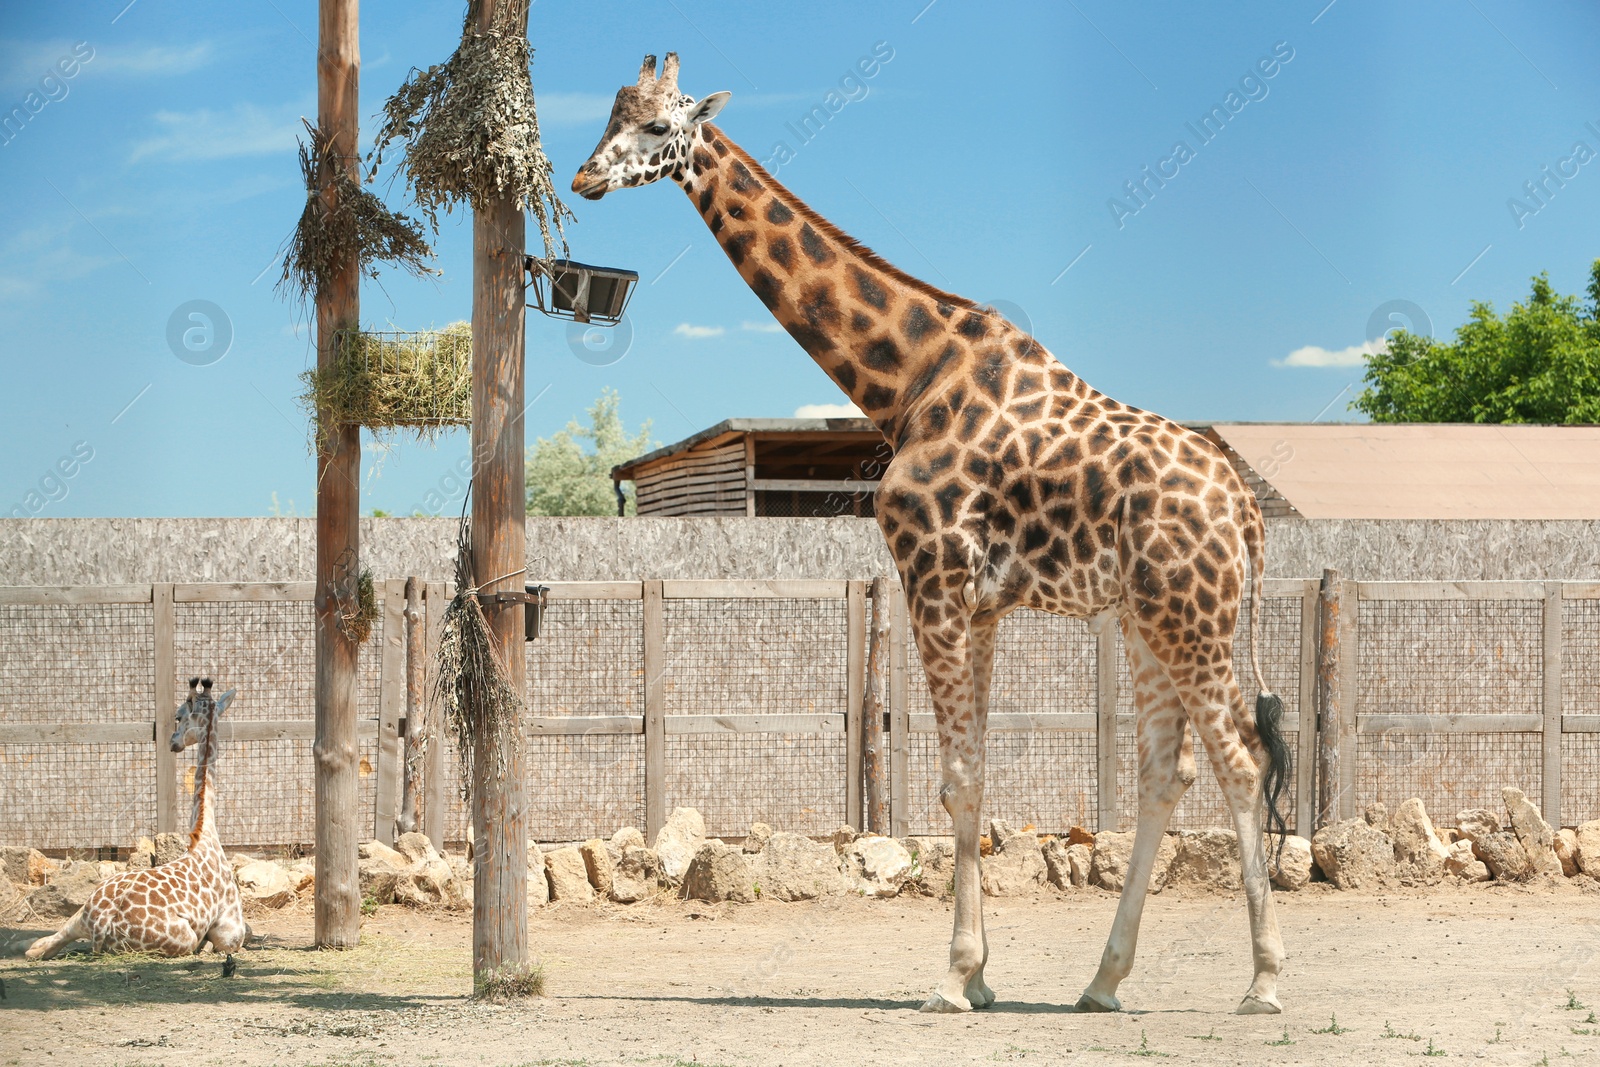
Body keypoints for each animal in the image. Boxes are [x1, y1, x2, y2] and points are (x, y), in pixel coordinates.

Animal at [27, 681, 249, 972]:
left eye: (179, 716)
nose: (173, 742)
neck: (205, 835)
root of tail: (103, 921)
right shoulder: (231, 931)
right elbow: (228, 941)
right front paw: (208, 946)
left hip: (81, 914)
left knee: (39, 946)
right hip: (182, 938)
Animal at [579, 54, 1299, 1017]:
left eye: (660, 126)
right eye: (610, 115)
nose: (582, 178)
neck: (905, 382)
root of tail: (1246, 511)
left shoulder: (931, 574)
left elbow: (956, 779)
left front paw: (955, 978)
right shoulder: (982, 602)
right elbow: (978, 771)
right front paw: (984, 974)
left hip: (1195, 617)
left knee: (1241, 760)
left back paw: (1262, 979)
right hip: (1147, 618)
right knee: (1165, 769)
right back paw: (1102, 981)